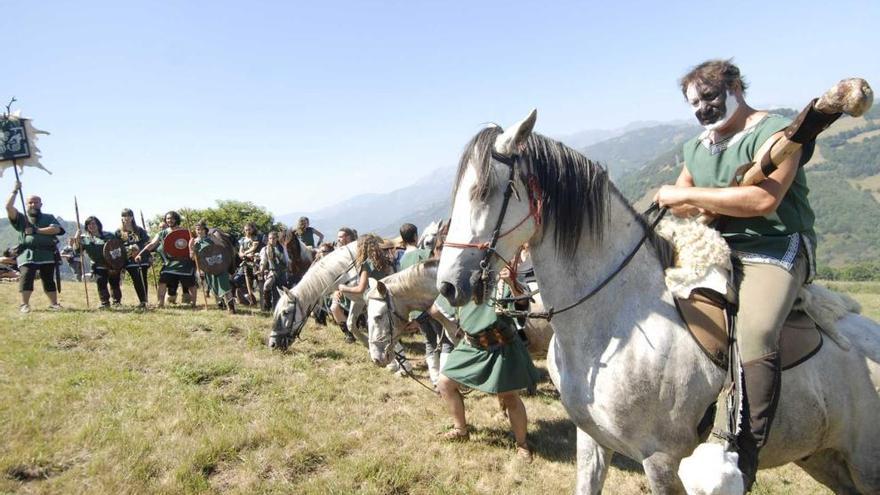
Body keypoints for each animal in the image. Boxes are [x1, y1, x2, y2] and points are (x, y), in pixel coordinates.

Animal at [434, 110, 880, 494]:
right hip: (824, 457)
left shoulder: (661, 460)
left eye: (484, 191)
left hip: (865, 463)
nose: (448, 286)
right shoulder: (592, 442)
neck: (612, 321)